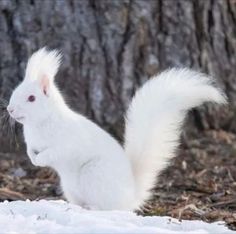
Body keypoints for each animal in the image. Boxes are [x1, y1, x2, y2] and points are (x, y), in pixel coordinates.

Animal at [7, 47, 227, 210]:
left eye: (31, 98)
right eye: (15, 91)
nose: (10, 109)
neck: (39, 123)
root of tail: (131, 196)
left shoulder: (67, 143)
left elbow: (55, 153)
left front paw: (39, 160)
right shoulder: (32, 142)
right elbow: (31, 150)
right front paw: (32, 158)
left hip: (94, 176)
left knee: (109, 208)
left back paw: (94, 208)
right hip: (71, 187)